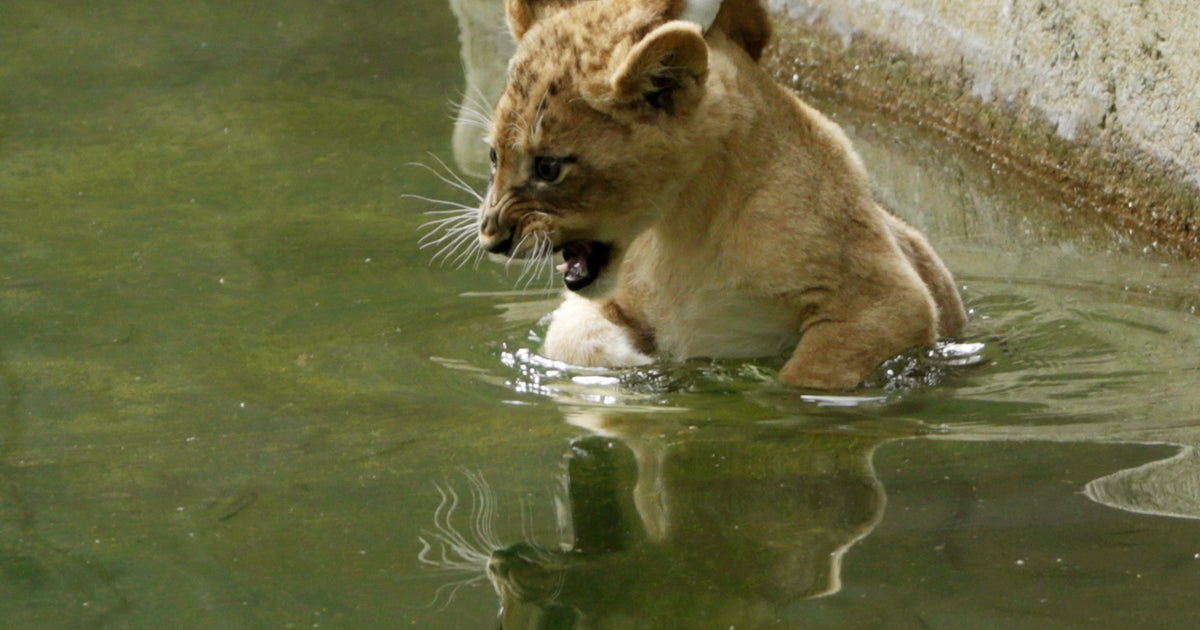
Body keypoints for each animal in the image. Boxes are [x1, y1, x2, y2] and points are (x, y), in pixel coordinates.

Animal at [477, 0, 967, 390]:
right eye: (494, 156)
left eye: (548, 167)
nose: (491, 238)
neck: (681, 226)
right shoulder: (604, 302)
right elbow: (569, 338)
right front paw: (644, 369)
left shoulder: (890, 301)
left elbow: (809, 378)